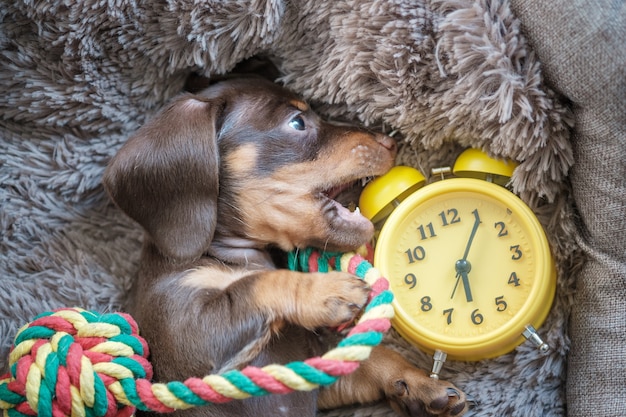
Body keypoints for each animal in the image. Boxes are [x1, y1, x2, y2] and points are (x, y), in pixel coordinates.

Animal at [103, 78, 468, 416]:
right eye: (297, 122)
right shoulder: (185, 333)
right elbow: (258, 284)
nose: (391, 141)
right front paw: (324, 291)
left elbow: (375, 358)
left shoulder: (307, 375)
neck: (233, 258)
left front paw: (418, 383)